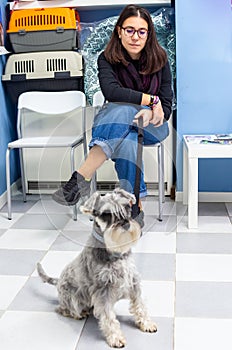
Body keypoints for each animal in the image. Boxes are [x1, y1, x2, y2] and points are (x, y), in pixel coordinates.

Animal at [37, 189, 157, 348]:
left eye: (127, 207)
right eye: (106, 214)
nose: (125, 224)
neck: (114, 250)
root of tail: (58, 281)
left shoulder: (133, 282)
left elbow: (140, 305)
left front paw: (147, 323)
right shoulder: (102, 290)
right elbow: (108, 317)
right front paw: (116, 337)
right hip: (72, 299)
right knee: (62, 309)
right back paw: (78, 313)